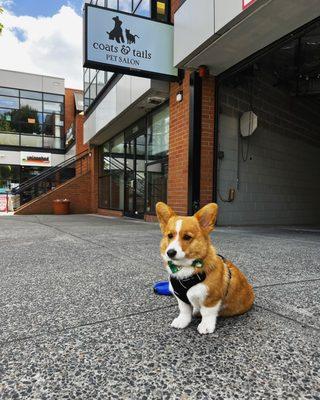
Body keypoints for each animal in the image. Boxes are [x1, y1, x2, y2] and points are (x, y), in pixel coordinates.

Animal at [156, 203, 255, 334]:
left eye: (187, 237)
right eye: (170, 236)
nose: (170, 252)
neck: (186, 269)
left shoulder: (211, 298)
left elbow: (207, 313)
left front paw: (206, 326)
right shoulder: (181, 298)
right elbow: (184, 310)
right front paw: (182, 321)